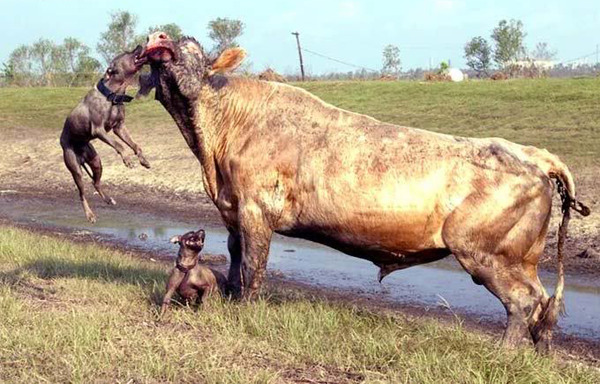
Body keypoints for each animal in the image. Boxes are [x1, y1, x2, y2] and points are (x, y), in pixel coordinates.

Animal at [59, 45, 151, 222]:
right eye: (127, 53)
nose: (139, 45)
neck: (112, 94)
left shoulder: (119, 127)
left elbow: (135, 145)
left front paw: (143, 160)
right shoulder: (99, 130)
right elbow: (119, 145)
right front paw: (127, 159)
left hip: (96, 161)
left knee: (95, 183)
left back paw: (108, 199)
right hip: (76, 169)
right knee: (82, 193)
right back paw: (89, 215)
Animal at [137, 31, 592, 352]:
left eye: (190, 49)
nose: (159, 38)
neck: (214, 143)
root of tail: (530, 153)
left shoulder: (255, 210)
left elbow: (253, 266)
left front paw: (245, 311)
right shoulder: (231, 209)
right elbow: (234, 258)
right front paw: (230, 299)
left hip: (486, 252)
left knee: (524, 301)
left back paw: (505, 353)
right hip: (520, 256)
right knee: (544, 302)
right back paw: (541, 353)